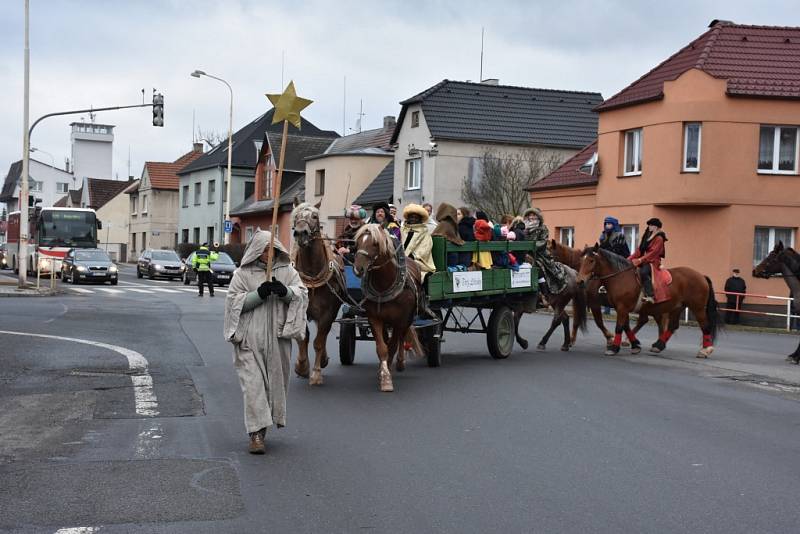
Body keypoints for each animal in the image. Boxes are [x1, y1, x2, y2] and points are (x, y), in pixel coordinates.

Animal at [292, 201, 346, 386]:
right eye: (295, 216)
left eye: (314, 216)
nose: (301, 233)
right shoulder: (300, 310)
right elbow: (303, 337)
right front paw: (301, 366)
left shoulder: (327, 313)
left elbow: (318, 342)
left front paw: (315, 374)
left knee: (323, 336)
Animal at [352, 226, 424, 394]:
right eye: (357, 243)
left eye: (375, 243)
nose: (358, 268)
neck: (384, 285)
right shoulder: (375, 318)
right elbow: (382, 348)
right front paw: (384, 374)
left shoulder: (400, 320)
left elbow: (392, 346)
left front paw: (387, 374)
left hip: (407, 319)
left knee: (402, 338)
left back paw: (400, 363)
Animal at [576, 246, 720, 360]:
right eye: (581, 260)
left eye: (591, 260)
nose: (580, 281)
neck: (620, 277)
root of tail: (702, 276)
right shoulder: (621, 308)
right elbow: (626, 326)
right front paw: (635, 345)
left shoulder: (622, 307)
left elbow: (619, 327)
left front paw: (614, 348)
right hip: (677, 307)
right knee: (672, 325)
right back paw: (659, 345)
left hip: (697, 307)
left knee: (705, 325)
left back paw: (706, 350)